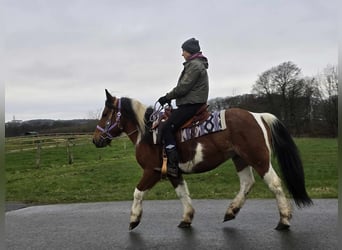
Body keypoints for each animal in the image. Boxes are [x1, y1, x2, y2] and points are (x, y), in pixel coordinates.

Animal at [93, 89, 312, 230]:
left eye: (105, 113)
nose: (95, 140)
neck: (148, 133)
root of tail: (257, 115)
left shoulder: (151, 171)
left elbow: (138, 193)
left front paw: (134, 220)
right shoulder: (173, 172)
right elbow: (183, 194)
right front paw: (186, 218)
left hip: (259, 159)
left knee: (274, 184)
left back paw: (284, 220)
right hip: (240, 159)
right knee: (247, 183)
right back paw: (231, 211)